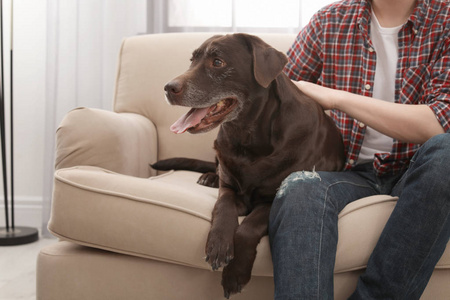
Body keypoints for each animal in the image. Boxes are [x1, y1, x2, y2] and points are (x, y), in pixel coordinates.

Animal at [151, 34, 344, 298]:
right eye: (192, 60)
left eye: (218, 62)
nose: (168, 88)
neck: (247, 139)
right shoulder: (229, 188)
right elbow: (223, 207)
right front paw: (218, 244)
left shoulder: (273, 200)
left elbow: (248, 227)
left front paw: (234, 274)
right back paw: (209, 177)